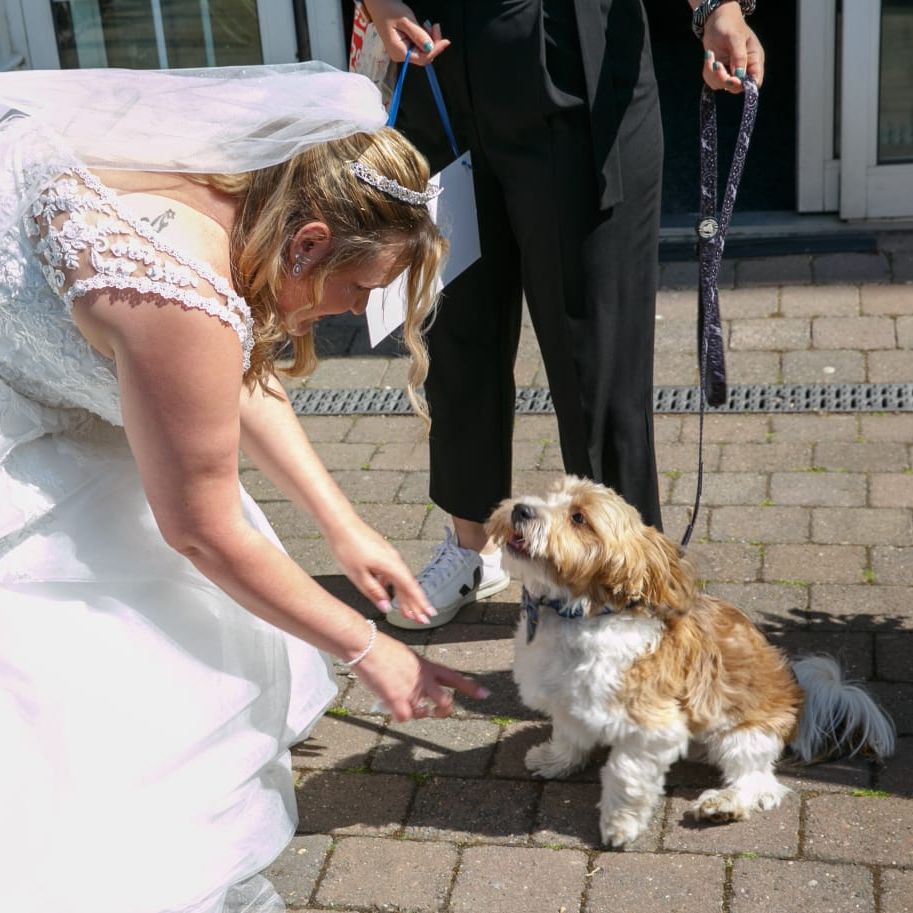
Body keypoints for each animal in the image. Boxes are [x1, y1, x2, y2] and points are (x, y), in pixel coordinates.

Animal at [487, 475, 895, 848]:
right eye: (548, 494)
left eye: (578, 518)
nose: (521, 509)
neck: (581, 615)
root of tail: (799, 693)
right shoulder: (568, 699)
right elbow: (569, 735)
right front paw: (555, 759)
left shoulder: (651, 728)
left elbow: (625, 775)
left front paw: (620, 825)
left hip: (743, 734)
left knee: (759, 781)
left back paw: (724, 804)